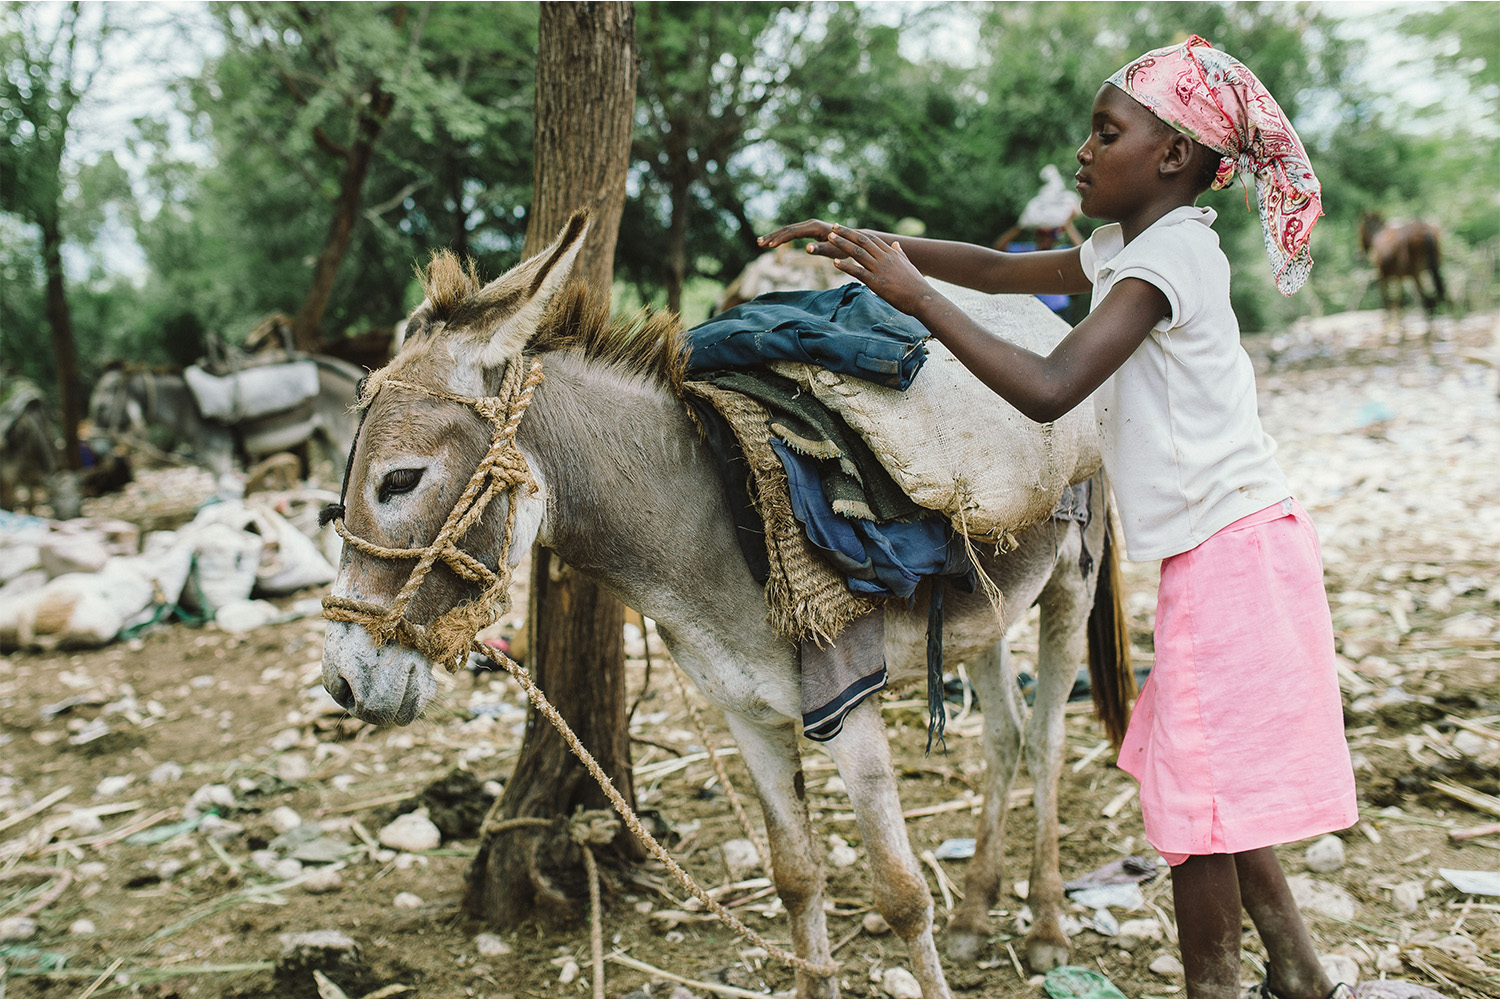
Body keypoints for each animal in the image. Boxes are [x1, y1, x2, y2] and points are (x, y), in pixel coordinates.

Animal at [316, 215, 1128, 995]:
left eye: (399, 480)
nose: (342, 684)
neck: (720, 523)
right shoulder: (748, 715)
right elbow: (796, 880)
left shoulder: (850, 709)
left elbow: (901, 897)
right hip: (985, 611)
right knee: (1006, 734)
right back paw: (977, 913)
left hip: (1070, 582)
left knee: (1047, 739)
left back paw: (1046, 925)